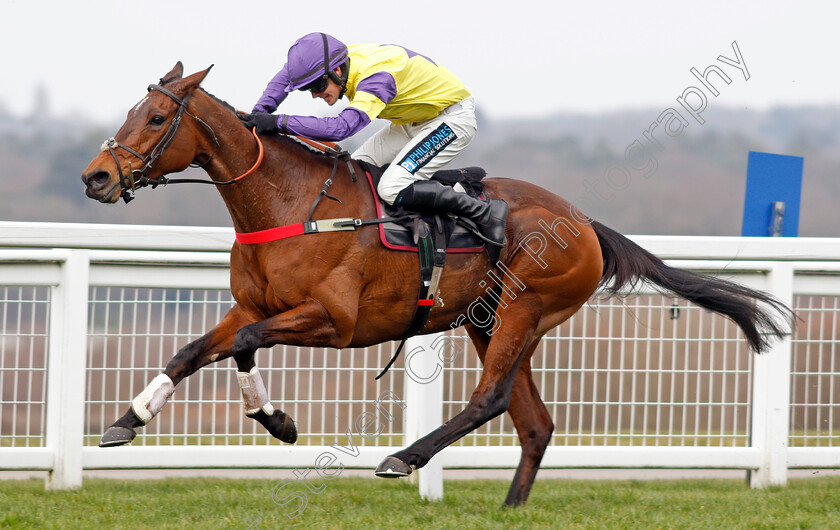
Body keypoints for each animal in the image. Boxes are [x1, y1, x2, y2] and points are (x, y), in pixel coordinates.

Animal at [82, 62, 792, 504]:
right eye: (133, 111)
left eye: (154, 119)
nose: (96, 177)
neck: (292, 204)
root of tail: (584, 222)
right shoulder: (253, 305)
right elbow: (199, 348)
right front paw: (129, 419)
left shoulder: (337, 323)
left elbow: (246, 342)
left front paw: (274, 418)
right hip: (490, 319)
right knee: (534, 422)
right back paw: (509, 508)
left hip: (524, 308)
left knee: (492, 399)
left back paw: (404, 457)